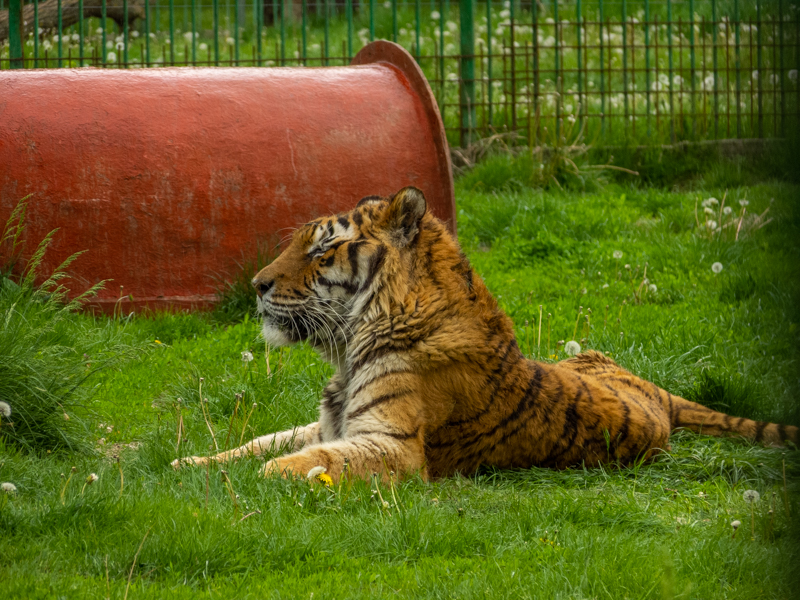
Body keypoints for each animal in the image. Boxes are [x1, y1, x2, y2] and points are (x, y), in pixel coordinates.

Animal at [172, 186, 799, 481]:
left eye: (323, 250)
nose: (255, 285)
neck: (347, 352)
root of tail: (658, 392)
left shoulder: (393, 444)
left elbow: (308, 460)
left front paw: (261, 479)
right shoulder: (327, 422)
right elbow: (259, 441)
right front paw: (182, 464)